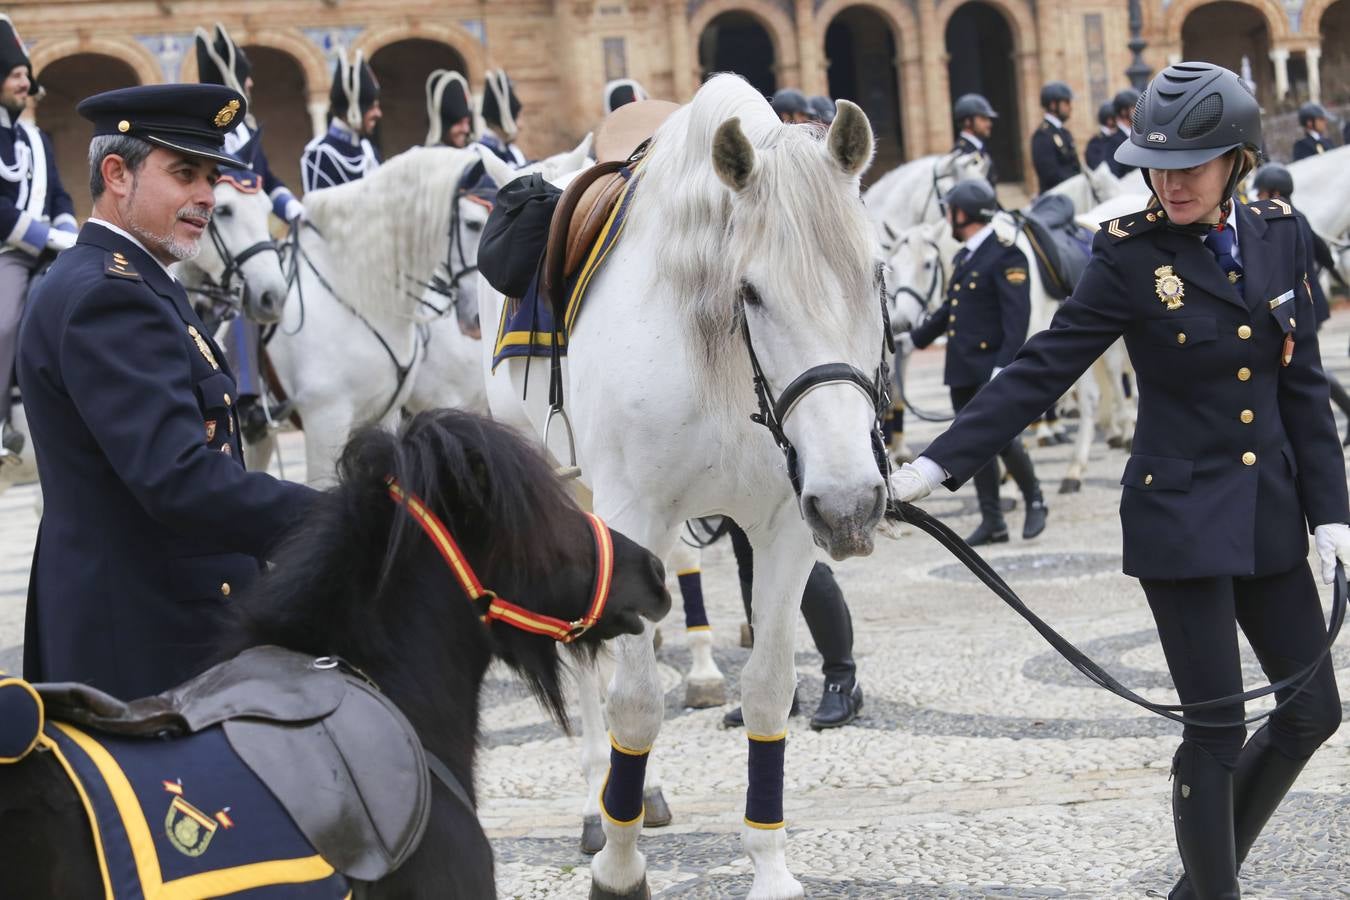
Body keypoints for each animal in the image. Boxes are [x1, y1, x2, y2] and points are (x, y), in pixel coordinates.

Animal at [483, 73, 885, 895]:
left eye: (875, 274)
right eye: (751, 293)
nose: (853, 503)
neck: (725, 364)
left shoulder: (787, 524)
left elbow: (768, 691)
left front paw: (768, 866)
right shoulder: (634, 516)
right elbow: (635, 702)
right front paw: (618, 863)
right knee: (587, 660)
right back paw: (597, 805)